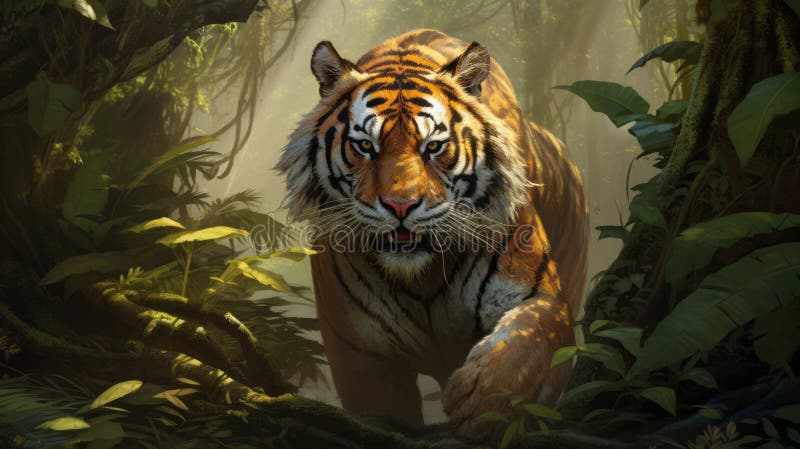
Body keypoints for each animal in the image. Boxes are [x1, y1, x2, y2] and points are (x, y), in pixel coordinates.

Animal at [276, 29, 588, 442]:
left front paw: (483, 403)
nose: (401, 206)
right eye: (365, 146)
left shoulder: (542, 295)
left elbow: (528, 343)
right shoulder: (357, 351)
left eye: (434, 147)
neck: (420, 278)